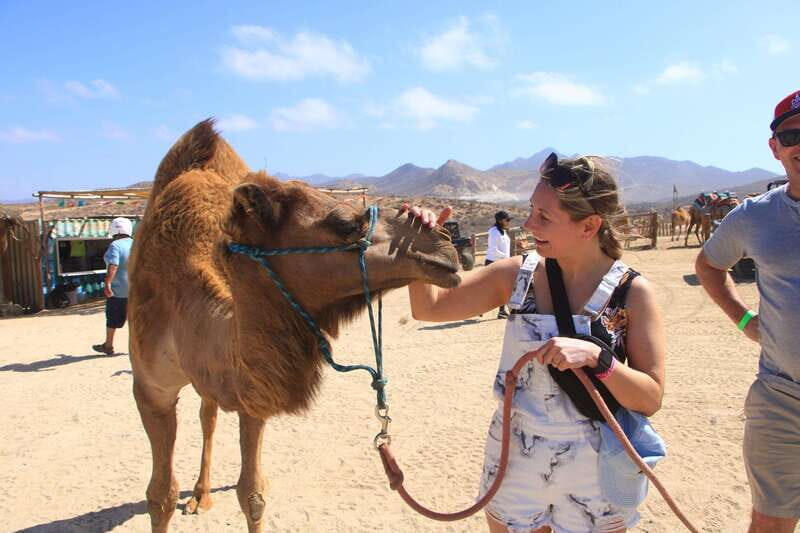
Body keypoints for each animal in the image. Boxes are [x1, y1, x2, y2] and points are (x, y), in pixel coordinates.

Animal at [128, 119, 461, 532]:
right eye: (344, 222)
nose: (445, 246)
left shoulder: (254, 391)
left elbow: (252, 493)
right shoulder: (150, 390)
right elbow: (160, 497)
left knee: (208, 413)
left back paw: (203, 495)